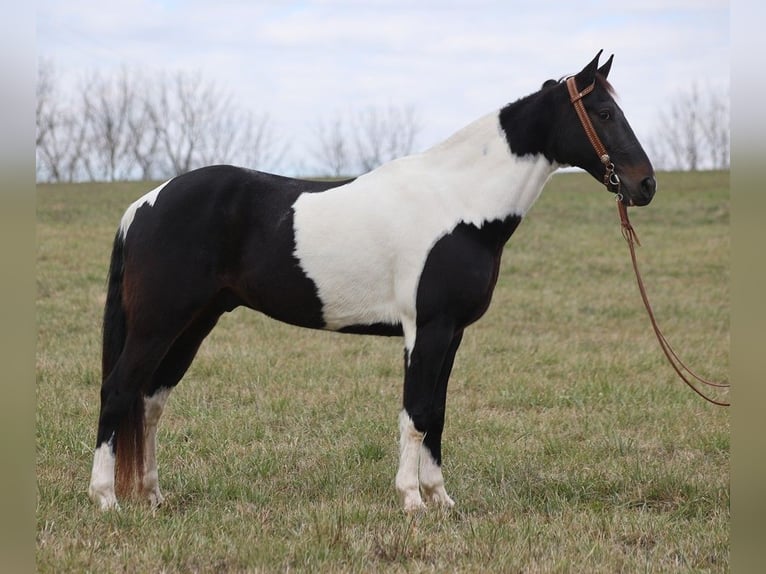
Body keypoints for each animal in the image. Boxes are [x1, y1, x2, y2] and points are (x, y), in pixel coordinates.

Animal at [88, 51, 656, 512]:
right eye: (604, 113)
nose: (645, 184)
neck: (460, 204)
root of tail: (144, 204)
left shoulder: (452, 334)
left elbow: (438, 414)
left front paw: (441, 498)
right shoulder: (426, 329)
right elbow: (417, 412)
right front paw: (412, 501)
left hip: (194, 323)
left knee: (149, 400)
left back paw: (153, 495)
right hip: (159, 323)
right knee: (118, 390)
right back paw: (106, 499)